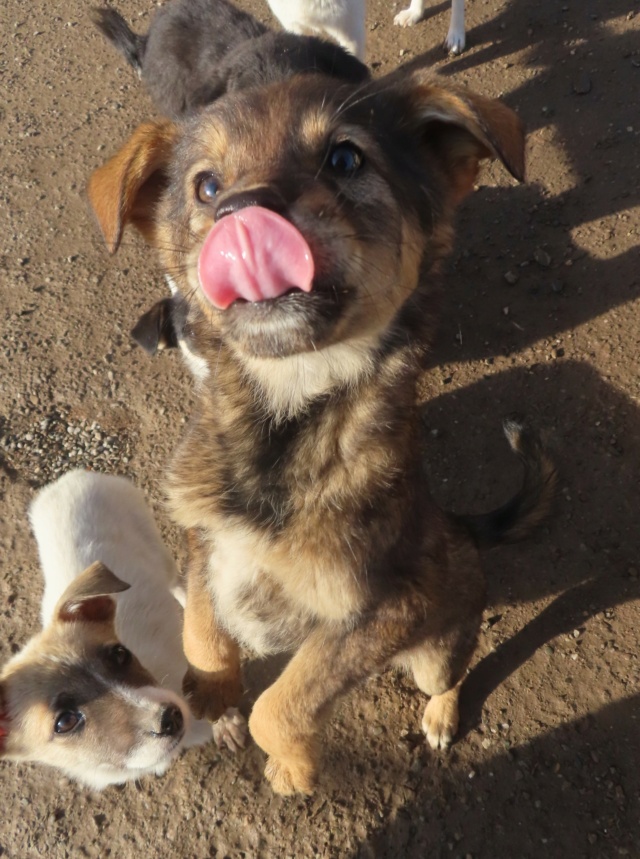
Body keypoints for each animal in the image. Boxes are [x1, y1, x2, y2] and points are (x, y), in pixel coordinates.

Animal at [0, 470, 245, 792]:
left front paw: (225, 721)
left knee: (181, 581)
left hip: (154, 542)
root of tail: (72, 476)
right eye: (64, 722)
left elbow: (211, 679)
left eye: (119, 654)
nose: (170, 718)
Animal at [87, 69, 552, 800]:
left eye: (345, 159)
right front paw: (213, 692)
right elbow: (201, 632)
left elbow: (287, 700)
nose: (243, 212)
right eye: (206, 186)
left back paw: (441, 715)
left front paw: (292, 765)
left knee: (446, 674)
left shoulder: (379, 613)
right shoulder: (203, 547)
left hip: (436, 641)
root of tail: (459, 525)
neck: (281, 430)